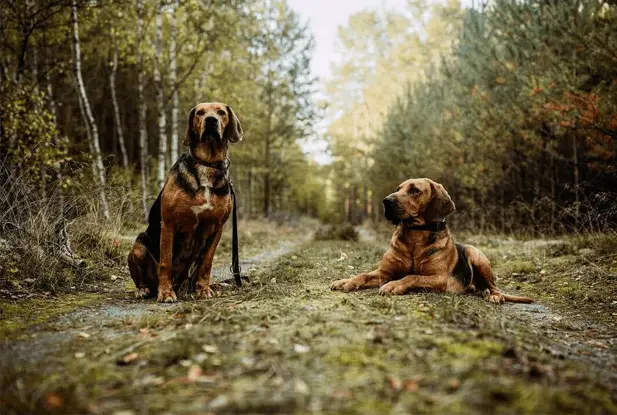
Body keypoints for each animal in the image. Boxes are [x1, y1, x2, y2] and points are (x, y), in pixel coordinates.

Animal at [129, 101, 242, 302]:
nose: (211, 120)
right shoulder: (168, 224)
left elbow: (206, 263)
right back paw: (145, 289)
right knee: (144, 276)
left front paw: (203, 289)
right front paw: (166, 293)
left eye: (221, 112)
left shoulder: (217, 227)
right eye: (200, 113)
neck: (207, 164)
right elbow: (165, 262)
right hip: (138, 246)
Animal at [330, 177, 532, 304]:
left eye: (414, 190)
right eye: (398, 189)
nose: (386, 201)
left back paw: (495, 296)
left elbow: (412, 276)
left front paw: (394, 285)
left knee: (494, 287)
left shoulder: (439, 278)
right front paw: (345, 281)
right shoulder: (384, 272)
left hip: (474, 253)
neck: (415, 236)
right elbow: (363, 274)